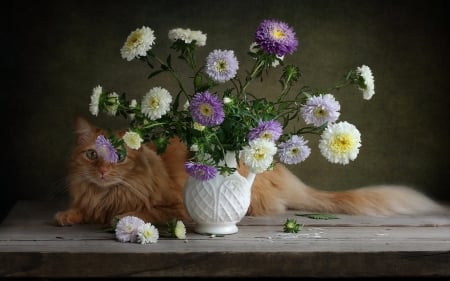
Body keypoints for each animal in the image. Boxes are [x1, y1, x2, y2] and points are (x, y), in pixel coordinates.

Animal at [54, 116, 444, 225]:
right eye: (92, 155)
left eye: (119, 158)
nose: (103, 172)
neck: (106, 191)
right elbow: (81, 209)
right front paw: (68, 215)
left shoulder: (172, 206)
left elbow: (136, 210)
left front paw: (116, 214)